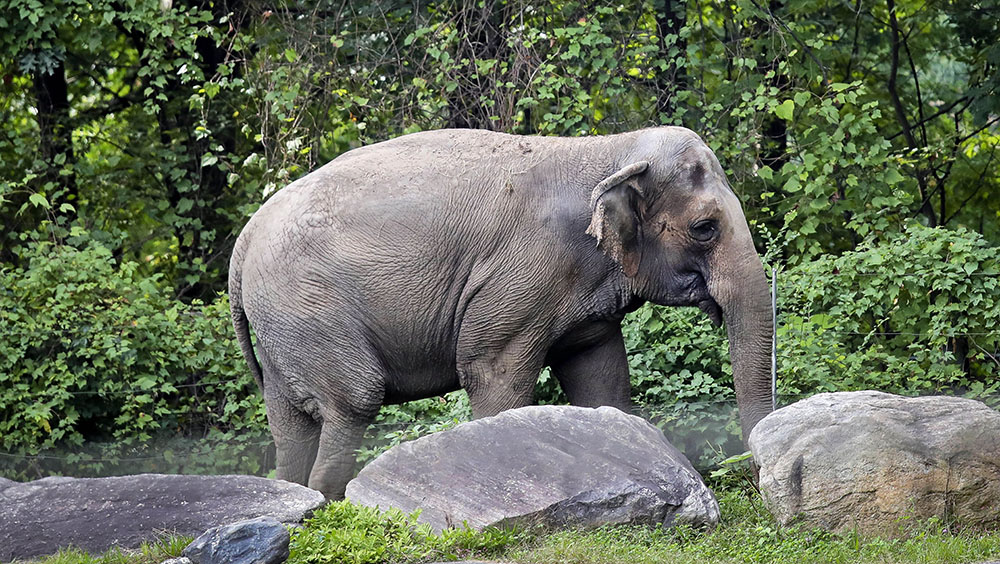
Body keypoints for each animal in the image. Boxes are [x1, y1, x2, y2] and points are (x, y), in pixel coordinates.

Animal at [230, 126, 776, 498]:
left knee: (290, 424)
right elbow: (495, 375)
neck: (607, 150)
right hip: (310, 308)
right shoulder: (522, 275)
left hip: (283, 326)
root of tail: (245, 238)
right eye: (705, 228)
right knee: (353, 402)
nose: (755, 480)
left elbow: (602, 380)